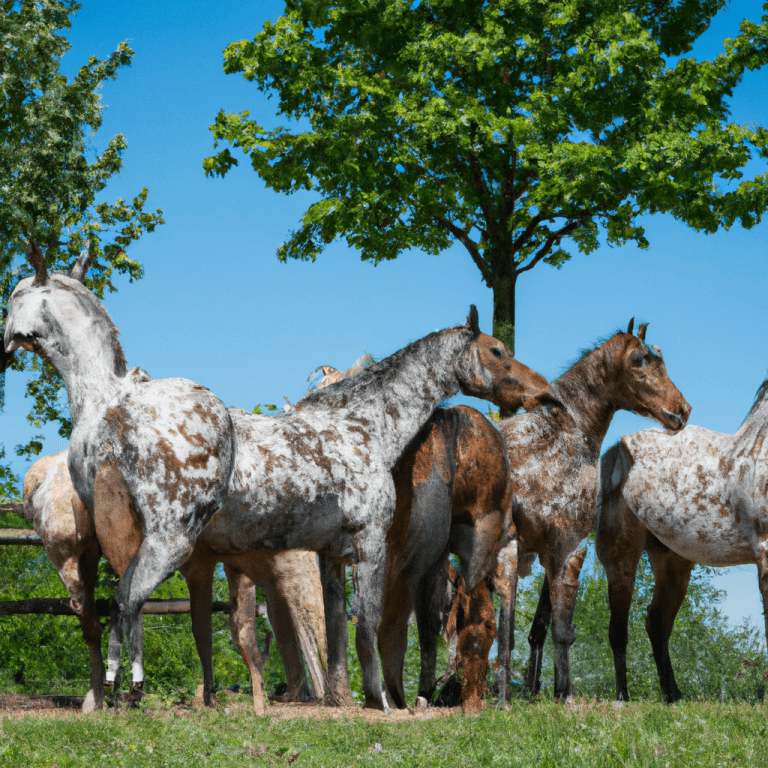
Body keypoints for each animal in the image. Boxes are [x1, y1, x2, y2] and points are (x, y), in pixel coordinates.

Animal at [4, 246, 237, 696]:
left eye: (13, 298)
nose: (4, 345)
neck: (98, 391)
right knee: (135, 600)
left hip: (172, 536)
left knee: (127, 599)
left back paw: (122, 685)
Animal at [498, 320, 691, 701]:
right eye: (638, 360)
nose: (681, 410)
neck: (565, 432)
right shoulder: (568, 546)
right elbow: (561, 628)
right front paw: (562, 692)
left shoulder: (546, 552)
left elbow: (536, 626)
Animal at [596, 371, 768, 703]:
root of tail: (617, 448)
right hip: (620, 557)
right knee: (618, 629)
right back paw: (623, 696)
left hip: (672, 561)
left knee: (656, 621)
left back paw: (672, 695)